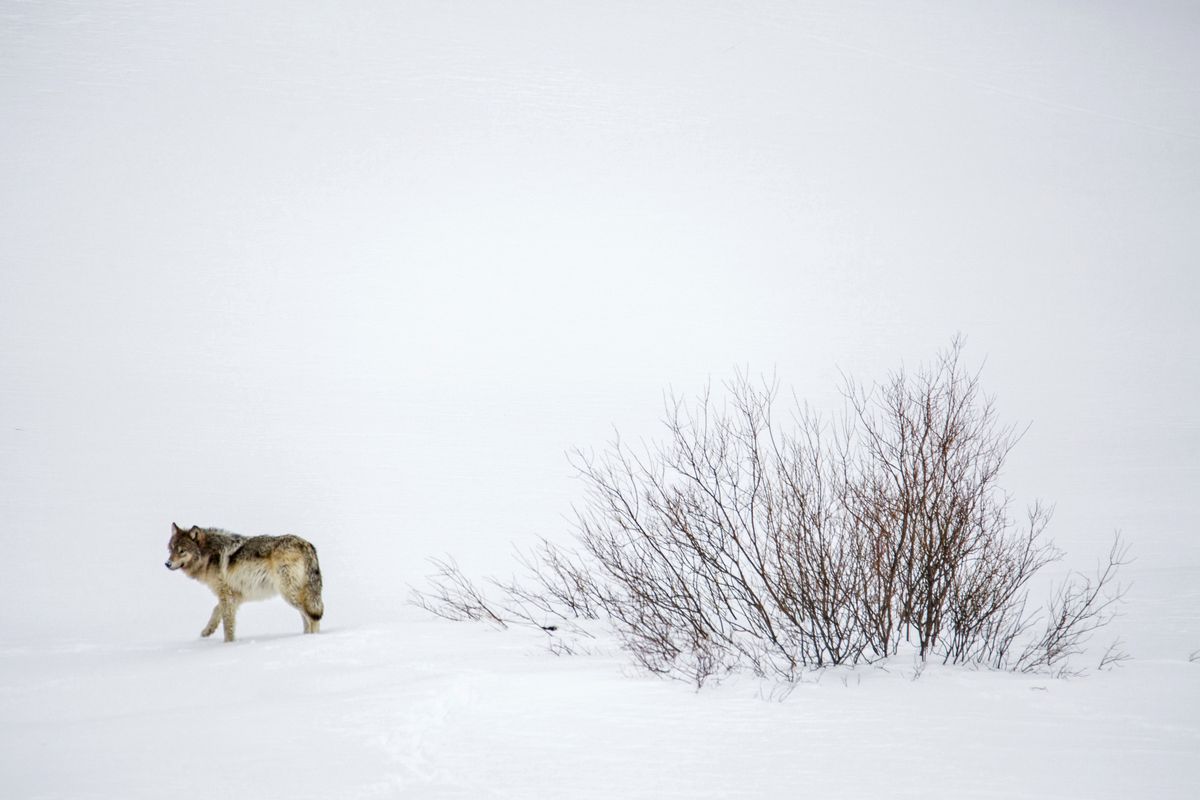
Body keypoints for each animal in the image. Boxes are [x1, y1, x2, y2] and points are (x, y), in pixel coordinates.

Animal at [165, 522, 324, 642]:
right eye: (171, 549)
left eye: (182, 551)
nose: (167, 564)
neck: (208, 555)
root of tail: (307, 545)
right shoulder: (233, 595)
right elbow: (216, 610)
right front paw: (207, 631)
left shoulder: (226, 595)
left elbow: (227, 625)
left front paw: (228, 645)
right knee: (306, 619)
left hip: (290, 595)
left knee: (313, 618)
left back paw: (312, 639)